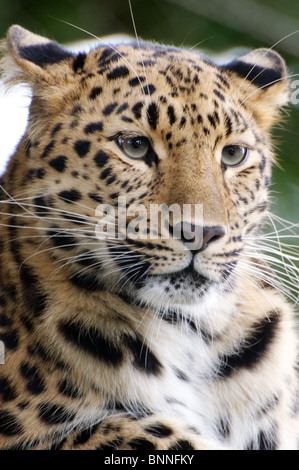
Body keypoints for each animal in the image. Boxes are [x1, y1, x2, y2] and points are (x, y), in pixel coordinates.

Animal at [0, 23, 298, 450]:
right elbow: (136, 430)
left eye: (233, 155)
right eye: (135, 146)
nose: (201, 232)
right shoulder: (33, 433)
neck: (196, 336)